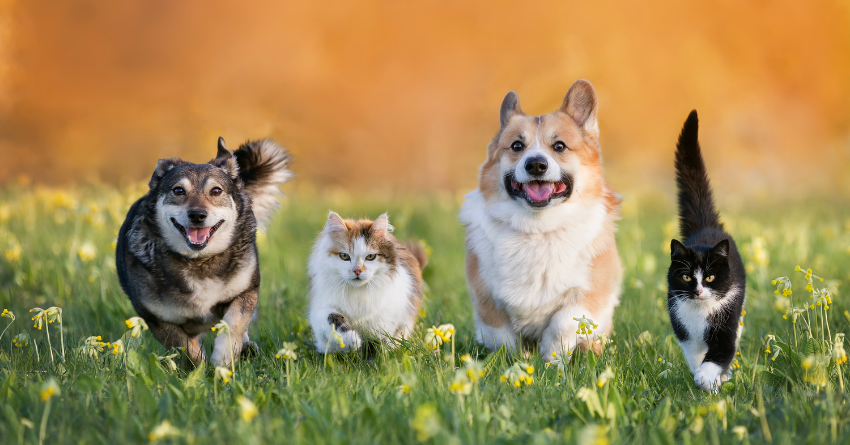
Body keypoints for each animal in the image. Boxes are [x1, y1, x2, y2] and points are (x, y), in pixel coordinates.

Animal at [116, 137, 290, 366]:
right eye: (178, 190)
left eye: (216, 191)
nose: (197, 215)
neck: (198, 261)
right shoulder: (157, 319)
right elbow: (186, 349)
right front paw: (201, 367)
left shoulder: (246, 292)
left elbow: (234, 324)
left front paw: (223, 358)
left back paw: (246, 348)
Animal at [458, 80, 624, 360]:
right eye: (516, 146)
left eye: (559, 146)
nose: (536, 165)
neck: (537, 229)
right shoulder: (487, 300)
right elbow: (503, 339)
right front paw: (517, 362)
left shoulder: (589, 295)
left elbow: (562, 325)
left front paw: (551, 360)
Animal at [664, 111, 744, 392]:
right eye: (687, 277)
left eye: (709, 277)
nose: (698, 291)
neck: (701, 313)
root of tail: (706, 225)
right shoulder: (684, 329)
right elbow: (695, 354)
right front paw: (702, 376)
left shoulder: (726, 324)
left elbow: (721, 351)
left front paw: (708, 378)